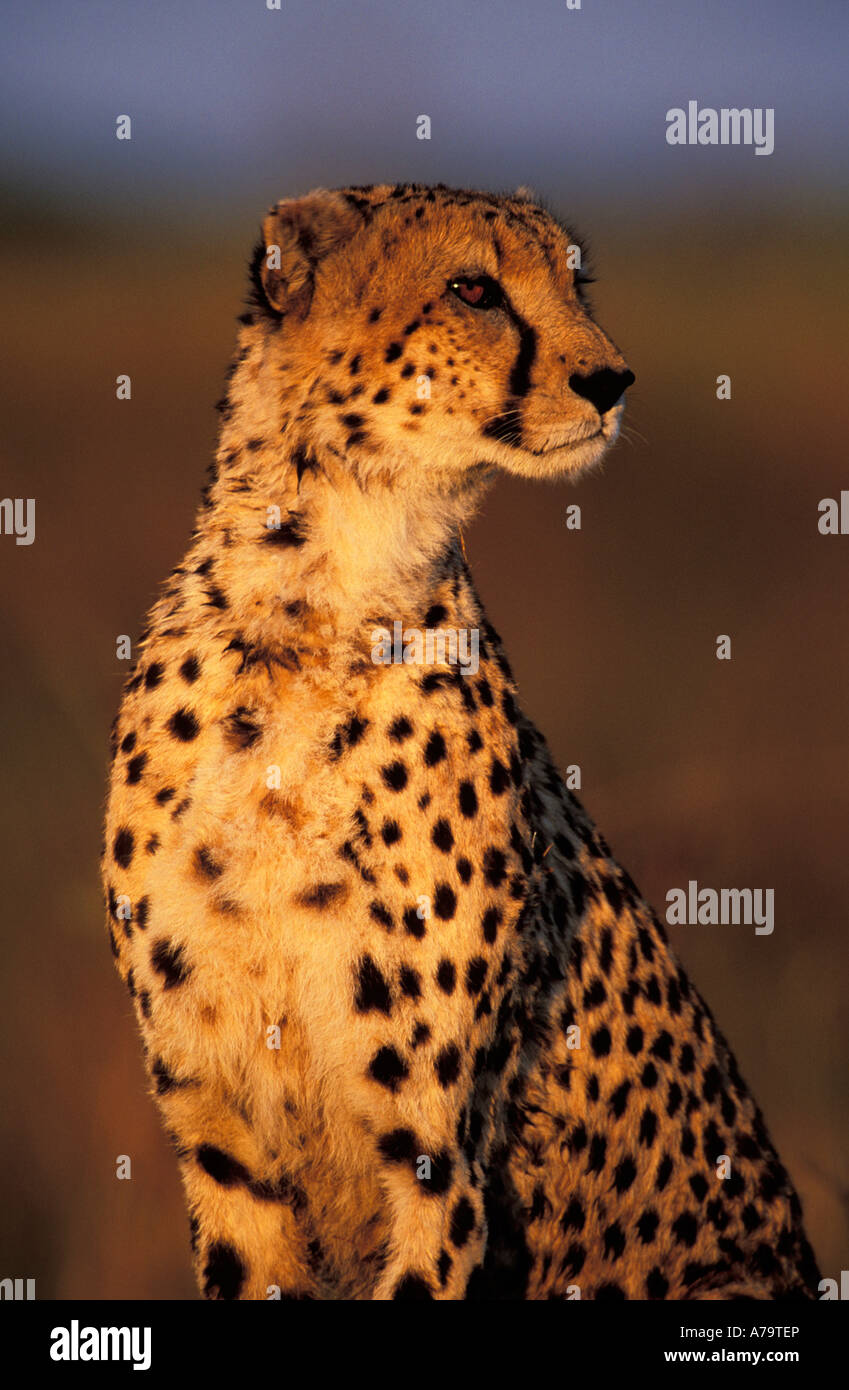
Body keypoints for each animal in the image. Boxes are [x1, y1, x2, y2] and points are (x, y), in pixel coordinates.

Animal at [102, 184, 822, 1301]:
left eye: (575, 282)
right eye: (474, 289)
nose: (610, 378)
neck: (308, 608)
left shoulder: (437, 1154)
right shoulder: (222, 1141)